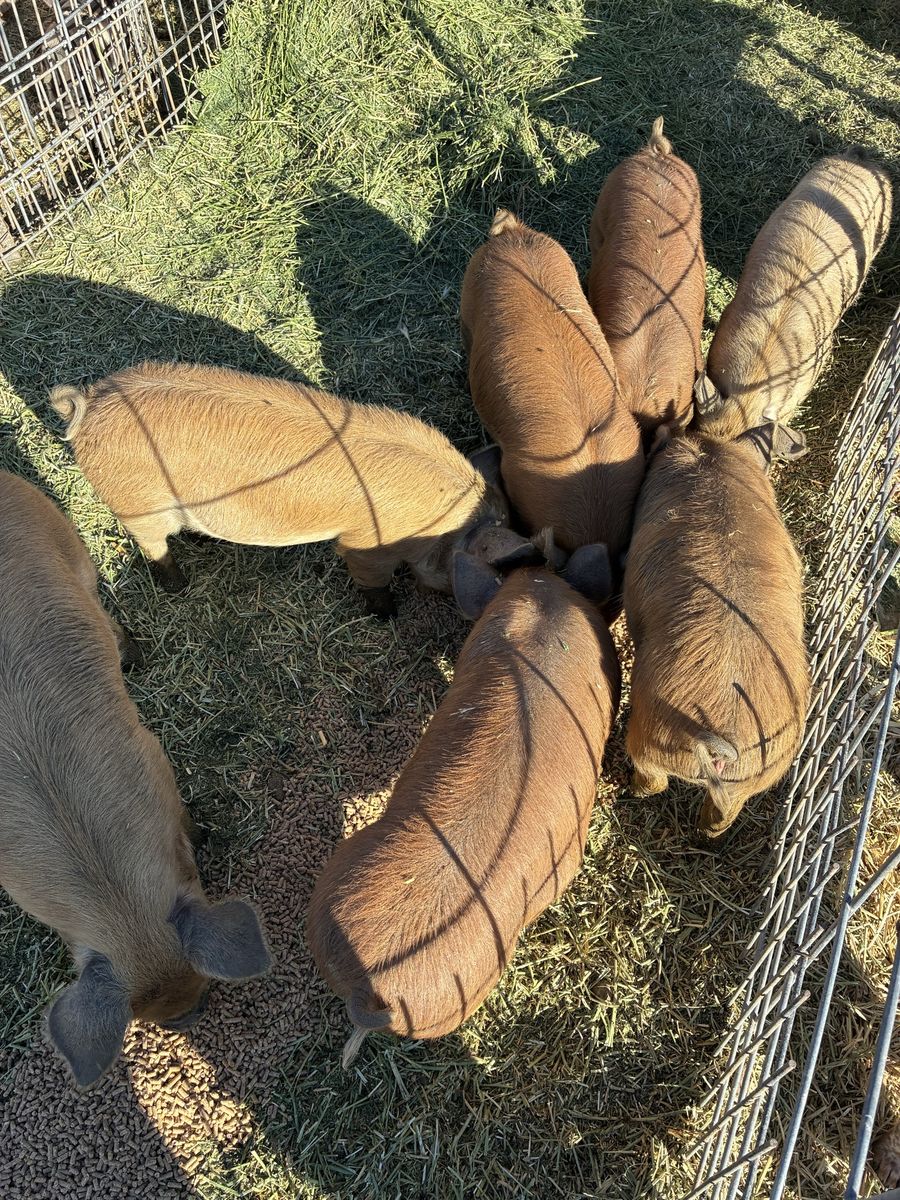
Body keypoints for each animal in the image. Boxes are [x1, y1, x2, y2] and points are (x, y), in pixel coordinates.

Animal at [49, 362, 514, 619]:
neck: (442, 526)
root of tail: (88, 405)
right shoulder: (366, 543)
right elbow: (371, 580)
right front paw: (387, 617)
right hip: (137, 506)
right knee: (153, 546)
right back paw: (178, 586)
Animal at [623, 430, 809, 837]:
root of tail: (723, 737)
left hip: (648, 740)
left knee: (652, 779)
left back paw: (634, 790)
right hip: (755, 776)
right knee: (721, 817)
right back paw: (706, 834)